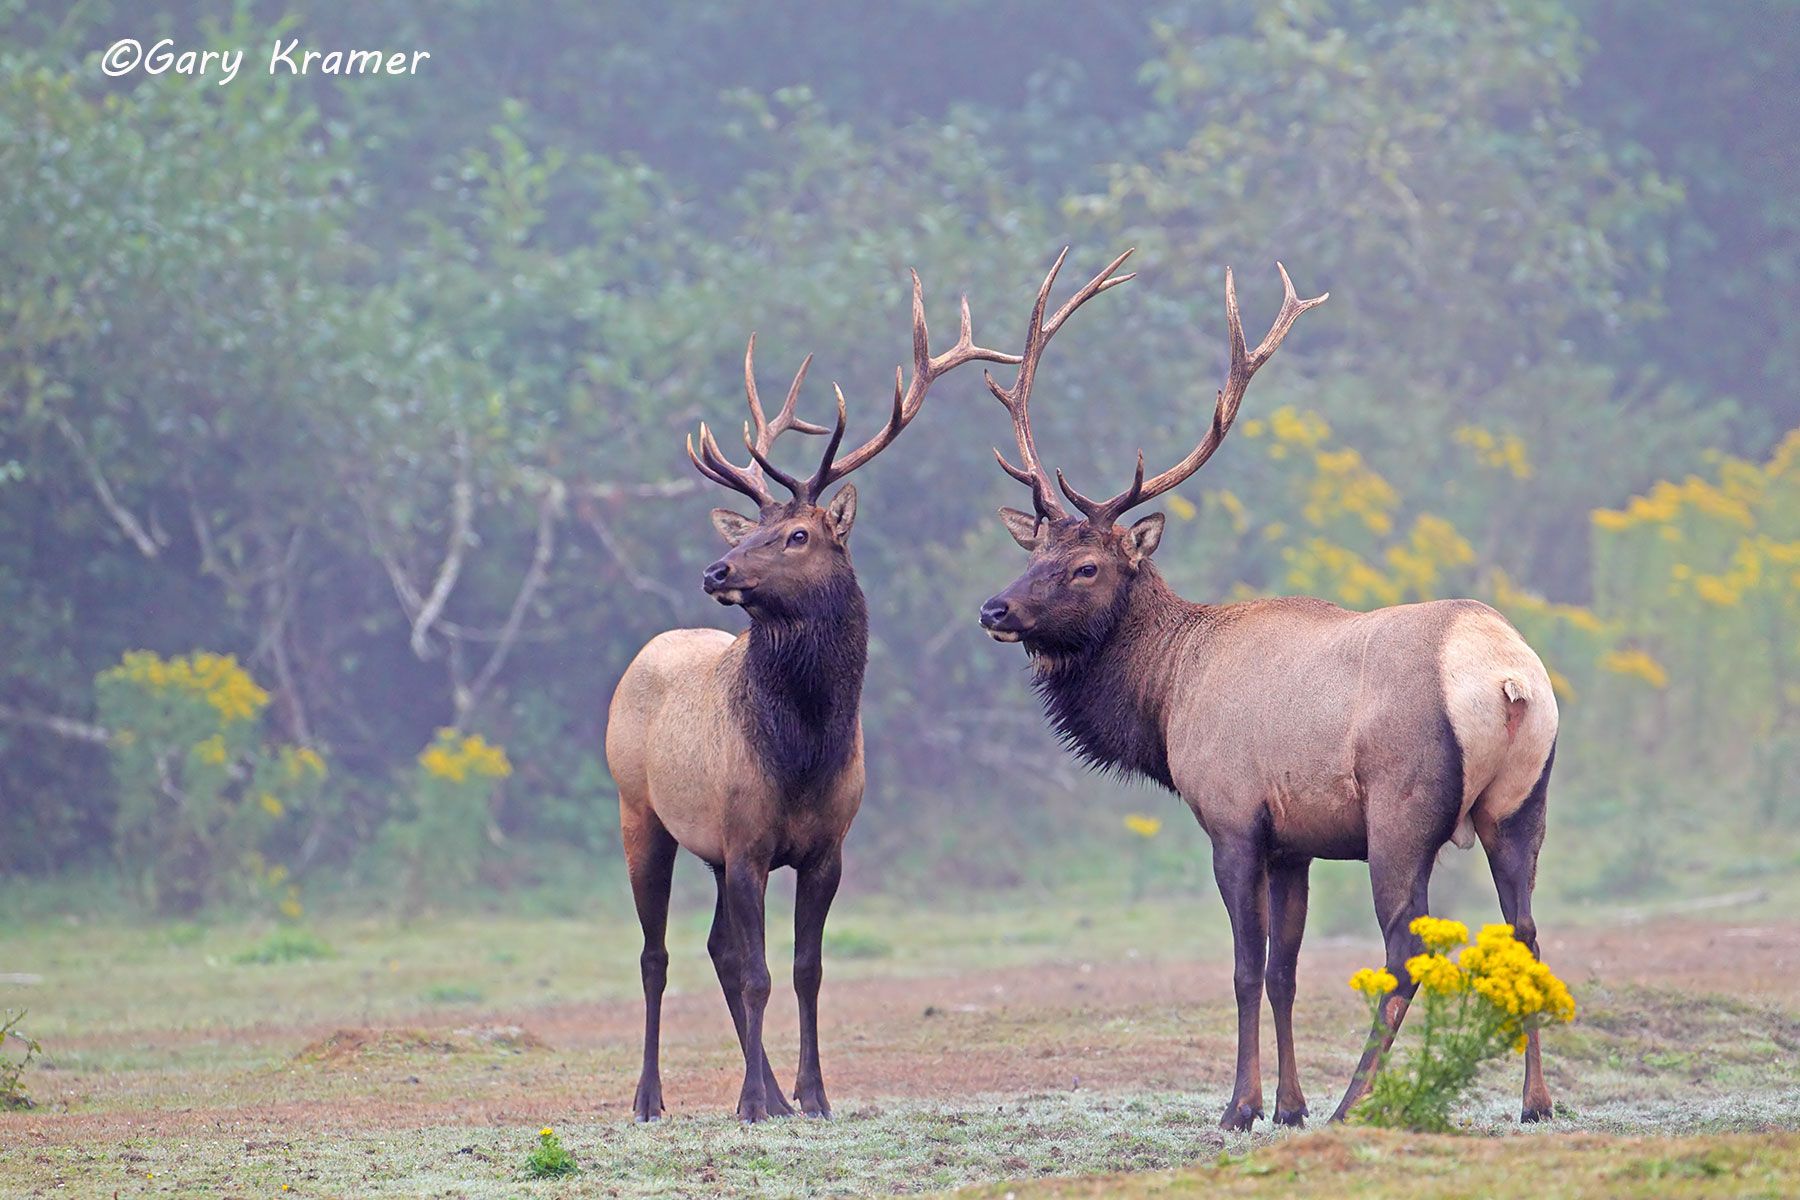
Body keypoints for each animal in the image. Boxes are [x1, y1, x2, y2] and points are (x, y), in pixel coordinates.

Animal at [605, 272, 1018, 1123]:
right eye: (752, 529)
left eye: (797, 535)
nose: (717, 570)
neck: (802, 753)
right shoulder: (747, 841)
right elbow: (760, 971)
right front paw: (753, 1102)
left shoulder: (824, 846)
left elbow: (804, 970)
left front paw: (812, 1095)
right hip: (639, 813)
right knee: (657, 954)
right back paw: (650, 1097)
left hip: (707, 847)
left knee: (714, 948)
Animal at [972, 249, 1560, 1131]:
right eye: (1033, 550)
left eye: (1086, 567)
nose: (995, 609)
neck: (1166, 698)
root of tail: (1507, 678)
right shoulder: (1295, 842)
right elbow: (1286, 970)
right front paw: (1288, 1105)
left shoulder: (1233, 817)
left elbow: (1247, 969)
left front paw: (1241, 1106)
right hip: (1521, 806)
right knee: (1526, 932)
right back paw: (1536, 1101)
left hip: (1402, 809)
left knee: (1406, 950)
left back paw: (1358, 1102)